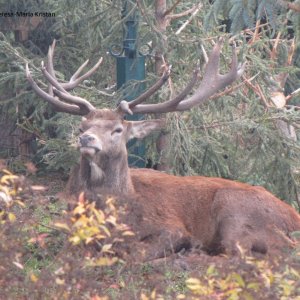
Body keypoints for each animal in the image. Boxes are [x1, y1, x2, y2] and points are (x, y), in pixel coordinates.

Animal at [25, 39, 300, 258]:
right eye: (82, 126)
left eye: (117, 129)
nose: (86, 139)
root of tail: (293, 218)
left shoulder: (171, 226)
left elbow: (135, 252)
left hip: (236, 211)